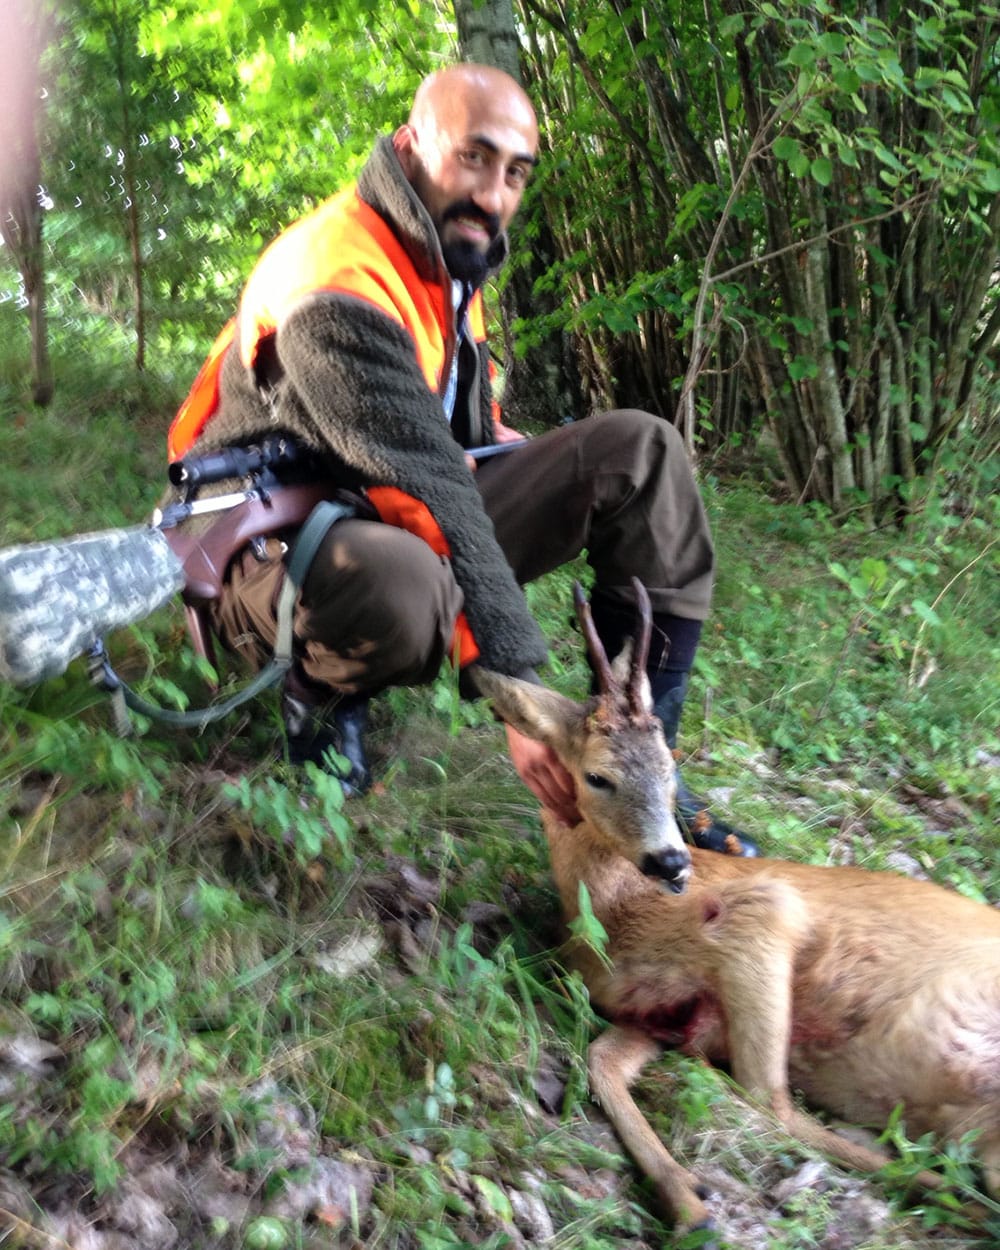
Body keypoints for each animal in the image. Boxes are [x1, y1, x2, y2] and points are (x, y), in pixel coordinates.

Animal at [470, 585, 1000, 1240]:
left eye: (671, 766)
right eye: (598, 776)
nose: (672, 860)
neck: (613, 918)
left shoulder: (763, 911)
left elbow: (767, 1099)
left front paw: (697, 1208)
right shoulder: (668, 1019)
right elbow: (601, 1062)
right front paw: (686, 1199)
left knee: (772, 1105)